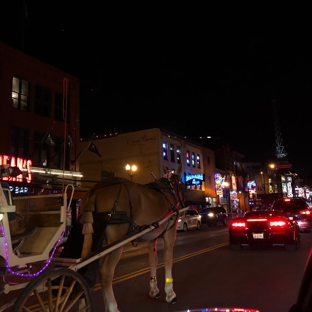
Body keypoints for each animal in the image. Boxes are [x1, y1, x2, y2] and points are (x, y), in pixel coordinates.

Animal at [79, 163, 185, 312]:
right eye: (182, 184)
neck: (168, 191)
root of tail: (95, 189)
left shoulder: (152, 238)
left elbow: (153, 261)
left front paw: (154, 290)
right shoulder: (170, 233)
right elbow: (168, 261)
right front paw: (170, 294)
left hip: (93, 237)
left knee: (84, 272)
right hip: (116, 240)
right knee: (106, 272)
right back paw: (112, 307)